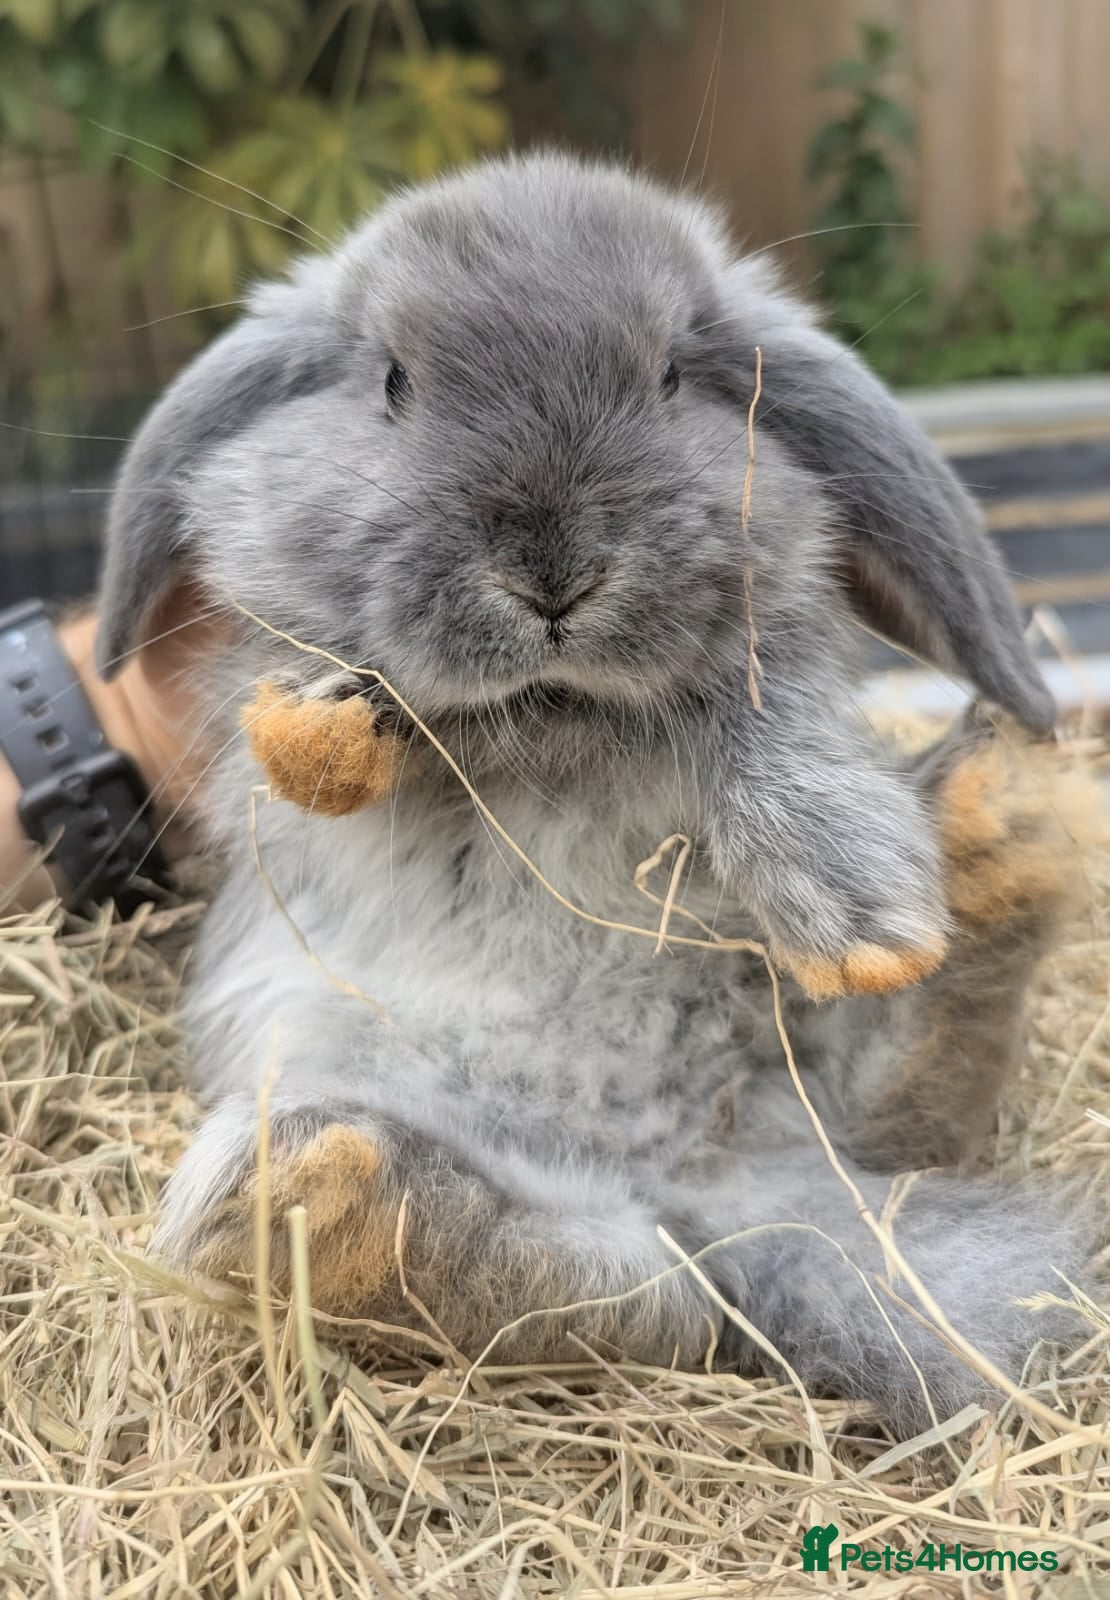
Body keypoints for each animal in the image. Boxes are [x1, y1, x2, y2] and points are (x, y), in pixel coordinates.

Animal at [96, 153, 1095, 1437]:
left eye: (671, 377)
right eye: (392, 380)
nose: (553, 574)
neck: (554, 726)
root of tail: (706, 1183)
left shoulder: (761, 680)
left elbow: (763, 724)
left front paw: (866, 917)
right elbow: (330, 717)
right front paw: (317, 740)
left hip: (788, 1060)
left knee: (889, 1112)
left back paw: (988, 833)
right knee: (601, 1290)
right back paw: (322, 1198)